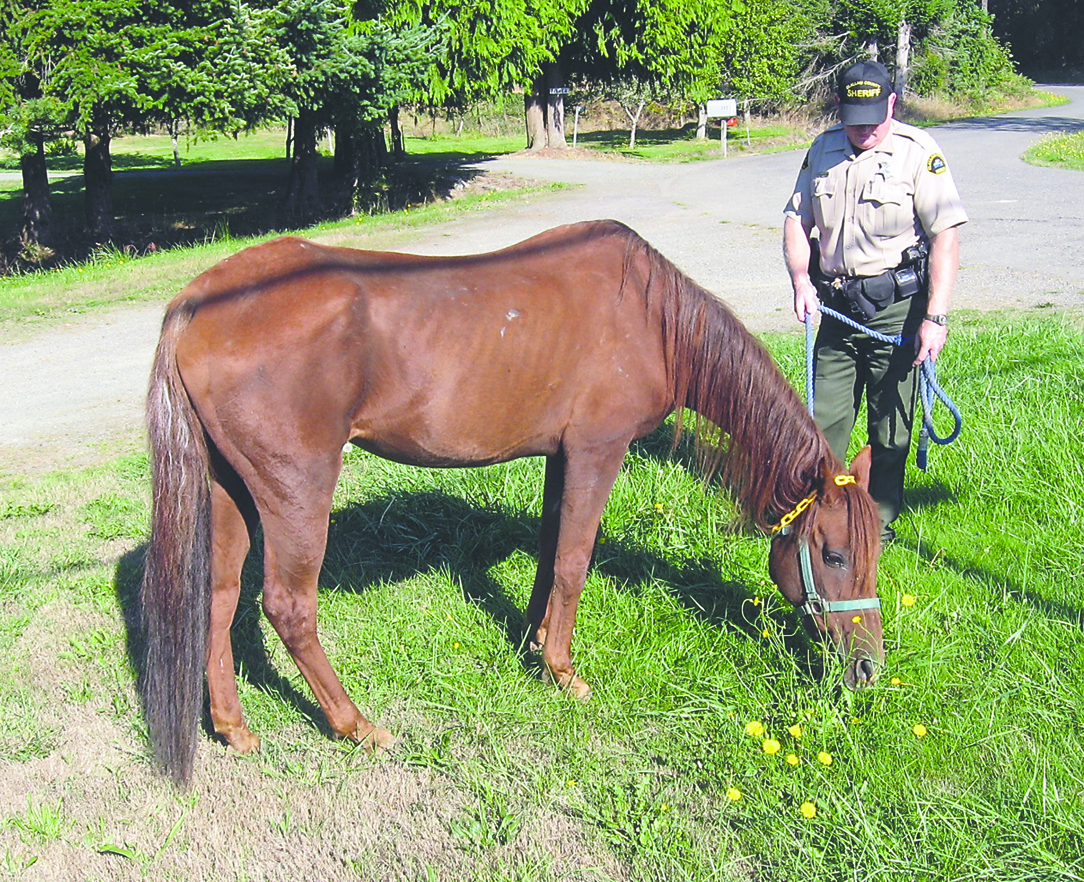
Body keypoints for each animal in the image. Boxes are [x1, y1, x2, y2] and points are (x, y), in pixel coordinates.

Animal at [140, 219, 883, 786]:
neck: (652, 316)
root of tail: (196, 302)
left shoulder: (560, 455)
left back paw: (234, 728)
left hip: (230, 490)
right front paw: (564, 672)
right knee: (288, 608)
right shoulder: (597, 449)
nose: (869, 669)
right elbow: (575, 562)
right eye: (834, 554)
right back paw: (357, 725)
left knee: (219, 596)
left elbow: (551, 552)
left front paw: (530, 643)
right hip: (295, 490)